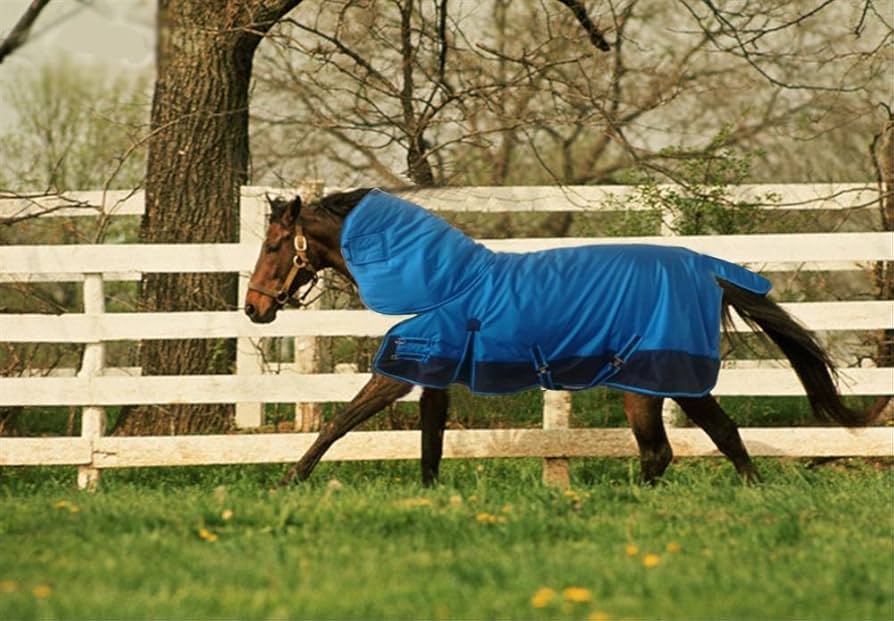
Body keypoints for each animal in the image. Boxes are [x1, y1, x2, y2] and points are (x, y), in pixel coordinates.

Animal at [244, 188, 876, 487]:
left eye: (274, 245)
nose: (254, 309)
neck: (442, 284)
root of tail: (710, 271)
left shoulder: (401, 371)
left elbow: (339, 422)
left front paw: (287, 481)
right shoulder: (433, 375)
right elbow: (430, 442)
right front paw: (430, 494)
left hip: (654, 383)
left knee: (675, 447)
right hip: (666, 385)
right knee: (707, 439)